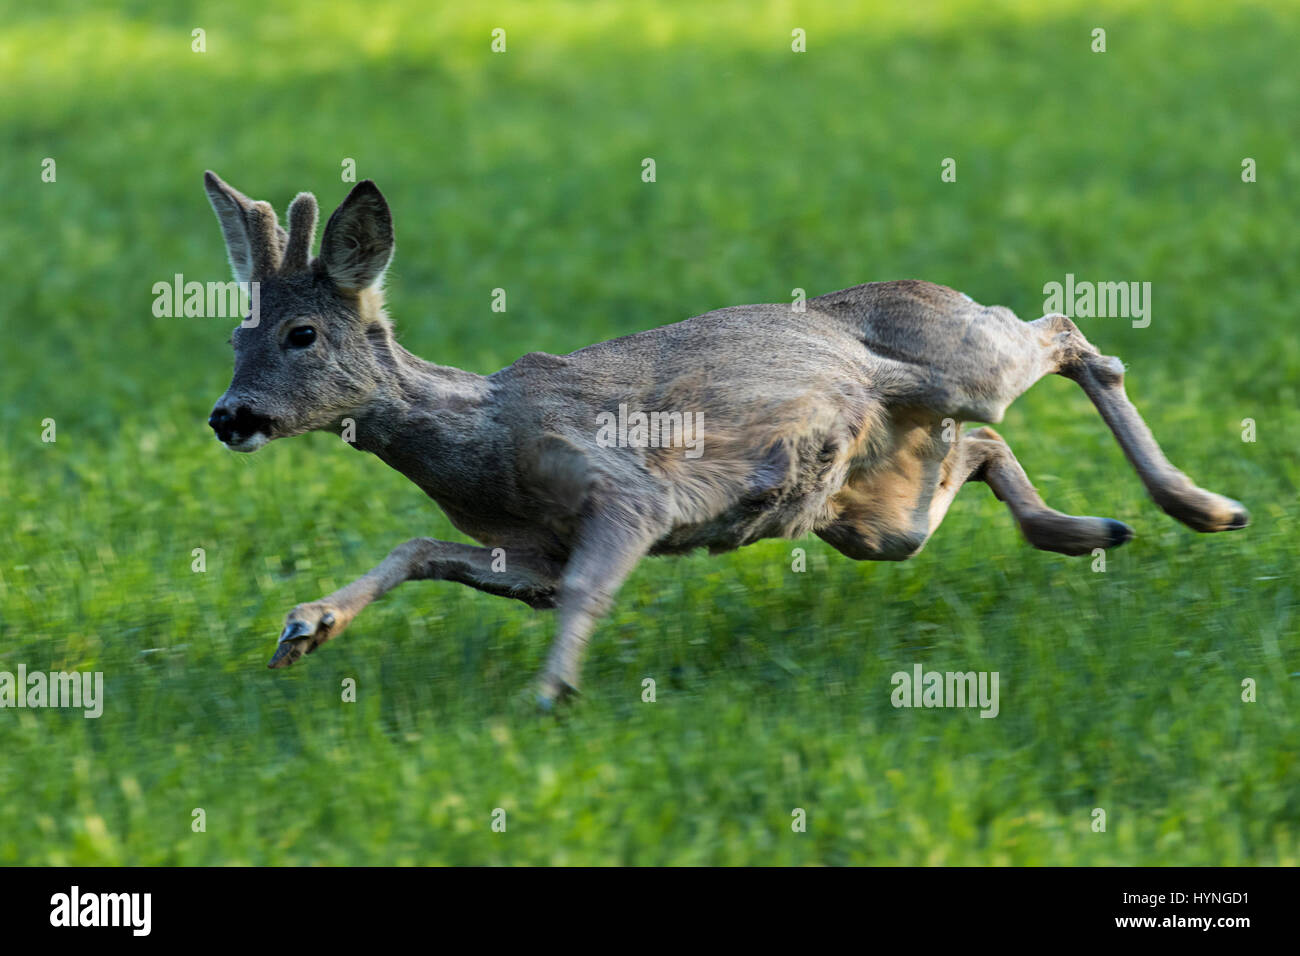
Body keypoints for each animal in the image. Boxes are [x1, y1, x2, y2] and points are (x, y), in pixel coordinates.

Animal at [202, 171, 1248, 707]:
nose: (228, 416)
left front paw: (549, 695)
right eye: (235, 336)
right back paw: (1095, 530)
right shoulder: (529, 552)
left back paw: (1204, 507)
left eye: (301, 335)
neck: (481, 436)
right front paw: (304, 629)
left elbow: (588, 587)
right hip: (869, 510)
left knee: (1066, 336)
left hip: (962, 368)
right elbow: (421, 548)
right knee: (978, 455)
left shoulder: (628, 492)